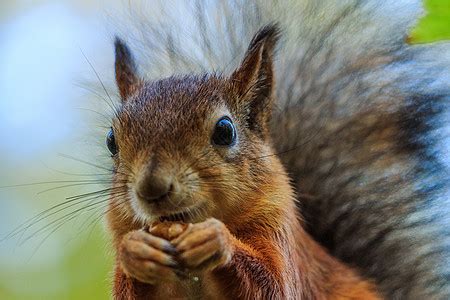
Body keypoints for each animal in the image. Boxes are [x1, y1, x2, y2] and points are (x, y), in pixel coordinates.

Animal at [103, 1, 450, 298]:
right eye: (111, 141)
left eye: (225, 131)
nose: (151, 188)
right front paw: (136, 251)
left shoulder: (277, 231)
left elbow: (272, 285)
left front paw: (215, 240)